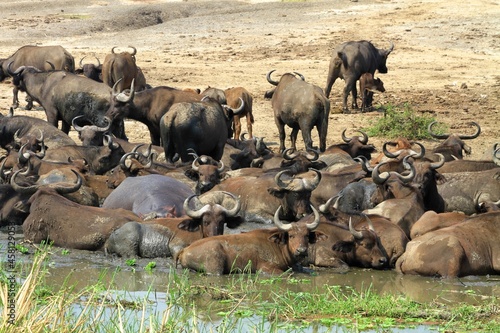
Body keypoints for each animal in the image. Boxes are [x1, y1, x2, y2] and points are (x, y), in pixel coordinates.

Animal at [178, 205, 320, 274]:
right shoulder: (266, 268)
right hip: (215, 269)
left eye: (307, 235)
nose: (301, 250)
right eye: (291, 235)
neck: (278, 245)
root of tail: (185, 250)